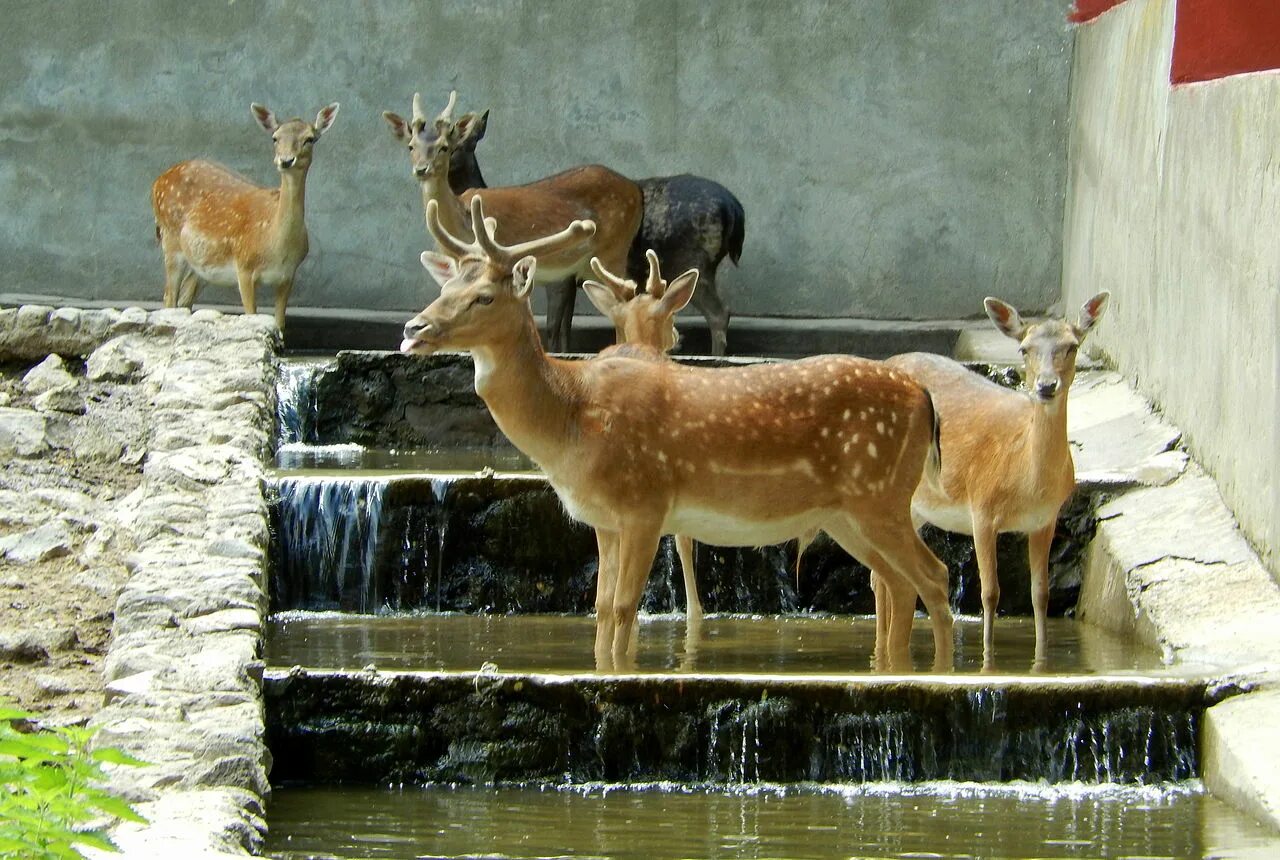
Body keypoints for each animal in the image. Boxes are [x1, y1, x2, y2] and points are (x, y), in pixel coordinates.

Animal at [151, 101, 340, 330]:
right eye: (275, 137)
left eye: (309, 138)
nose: (286, 161)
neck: (275, 244)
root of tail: (158, 181)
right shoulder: (244, 267)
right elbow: (251, 315)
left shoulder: (287, 275)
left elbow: (279, 324)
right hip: (170, 240)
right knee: (169, 297)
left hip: (201, 262)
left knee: (184, 299)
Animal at [376, 92, 640, 350]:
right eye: (411, 146)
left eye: (444, 147)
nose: (422, 169)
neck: (460, 223)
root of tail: (636, 192)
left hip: (614, 250)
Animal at [404, 194, 957, 670]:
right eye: (443, 290)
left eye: (483, 297)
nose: (413, 329)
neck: (571, 420)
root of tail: (924, 398)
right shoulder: (603, 520)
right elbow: (600, 606)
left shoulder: (644, 502)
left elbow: (625, 606)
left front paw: (620, 674)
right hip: (847, 513)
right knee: (897, 583)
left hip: (880, 495)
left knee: (932, 576)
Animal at [870, 291, 1111, 670]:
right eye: (1024, 349)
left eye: (1072, 346)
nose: (1046, 386)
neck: (1028, 484)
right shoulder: (981, 508)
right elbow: (990, 592)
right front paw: (987, 660)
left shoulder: (1045, 520)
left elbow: (1040, 593)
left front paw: (1042, 658)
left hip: (916, 509)